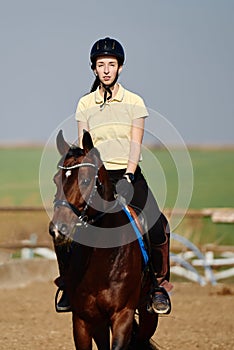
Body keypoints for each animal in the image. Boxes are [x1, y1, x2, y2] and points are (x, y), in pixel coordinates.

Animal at [49, 131, 159, 350]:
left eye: (85, 180)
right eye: (56, 180)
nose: (57, 230)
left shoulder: (123, 315)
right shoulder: (83, 320)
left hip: (147, 313)